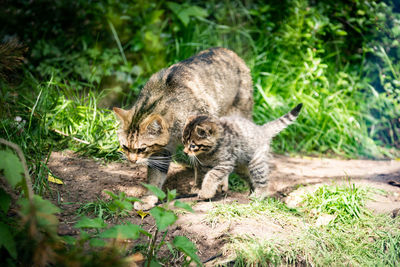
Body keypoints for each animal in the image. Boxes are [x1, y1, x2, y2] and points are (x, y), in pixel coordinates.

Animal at [113, 48, 253, 211]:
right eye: (125, 147)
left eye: (142, 149)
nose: (132, 161)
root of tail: (229, 51)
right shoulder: (162, 150)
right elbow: (155, 177)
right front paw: (148, 198)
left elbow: (202, 165)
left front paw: (200, 187)